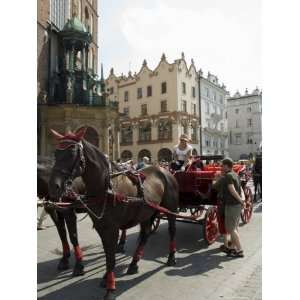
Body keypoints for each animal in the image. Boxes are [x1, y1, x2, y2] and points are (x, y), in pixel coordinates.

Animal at [48, 127, 179, 298]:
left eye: (71, 153)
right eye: (56, 153)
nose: (54, 186)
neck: (107, 187)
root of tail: (163, 169)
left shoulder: (112, 228)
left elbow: (110, 257)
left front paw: (110, 287)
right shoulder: (102, 227)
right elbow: (108, 254)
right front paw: (107, 278)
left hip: (170, 210)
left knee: (171, 231)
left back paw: (171, 256)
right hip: (147, 212)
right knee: (144, 235)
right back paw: (134, 263)